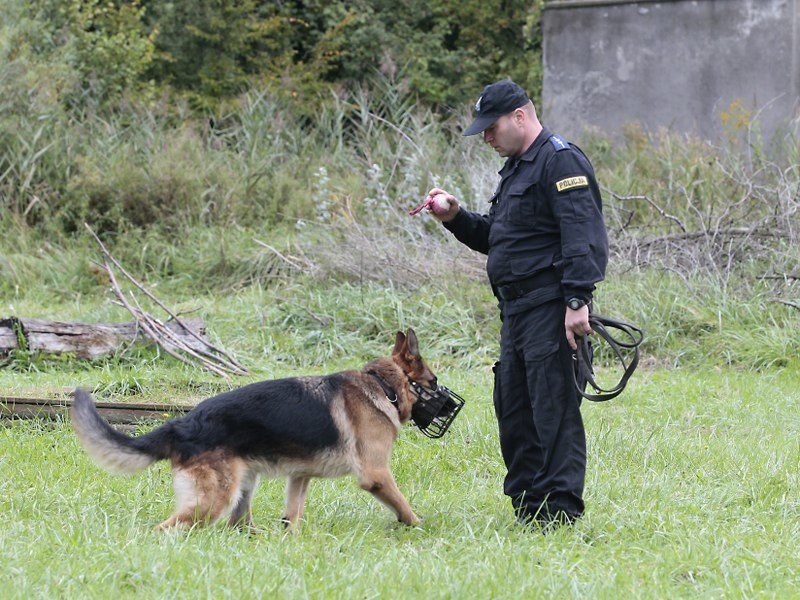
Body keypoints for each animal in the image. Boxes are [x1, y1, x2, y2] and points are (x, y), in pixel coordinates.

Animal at [72, 328, 438, 528]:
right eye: (434, 382)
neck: (384, 386)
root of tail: (184, 423)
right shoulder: (376, 474)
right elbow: (404, 505)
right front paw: (419, 527)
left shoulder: (299, 477)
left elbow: (293, 516)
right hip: (213, 500)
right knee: (165, 529)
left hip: (242, 488)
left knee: (234, 527)